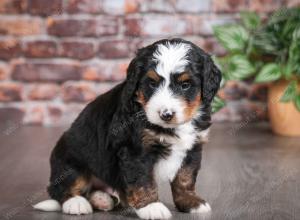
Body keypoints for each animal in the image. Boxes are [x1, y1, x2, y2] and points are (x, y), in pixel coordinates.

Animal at [34, 37, 221, 218]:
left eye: (185, 85)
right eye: (152, 83)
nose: (166, 114)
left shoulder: (193, 147)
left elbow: (185, 178)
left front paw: (191, 202)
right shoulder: (135, 150)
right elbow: (143, 180)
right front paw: (151, 207)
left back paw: (102, 199)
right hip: (69, 159)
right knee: (64, 187)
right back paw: (76, 203)